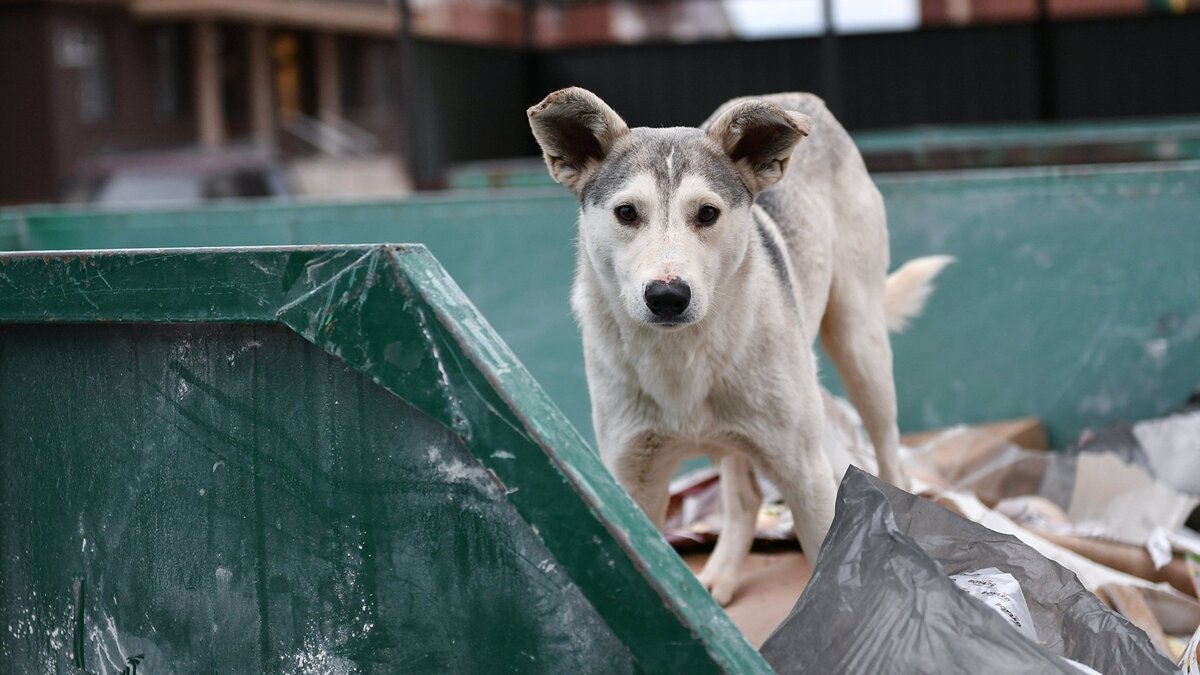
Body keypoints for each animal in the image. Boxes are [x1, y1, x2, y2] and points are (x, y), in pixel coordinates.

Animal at [530, 86, 950, 600]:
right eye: (626, 212)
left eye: (707, 213)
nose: (667, 297)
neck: (682, 357)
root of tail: (799, 96)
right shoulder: (633, 481)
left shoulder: (804, 474)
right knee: (745, 495)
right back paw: (722, 574)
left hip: (860, 346)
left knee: (888, 450)